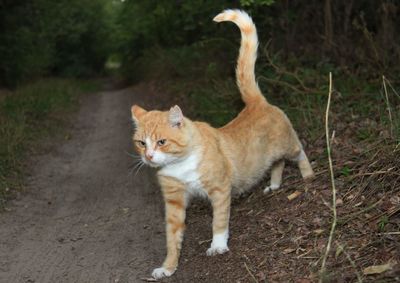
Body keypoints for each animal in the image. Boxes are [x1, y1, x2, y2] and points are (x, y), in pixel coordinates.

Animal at [130, 8, 314, 280]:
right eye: (142, 143)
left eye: (161, 142)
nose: (149, 157)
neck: (179, 165)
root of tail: (254, 102)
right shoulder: (174, 202)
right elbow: (172, 240)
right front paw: (168, 267)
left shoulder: (219, 190)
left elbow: (218, 222)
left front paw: (217, 246)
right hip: (271, 156)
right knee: (277, 164)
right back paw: (274, 185)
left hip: (288, 145)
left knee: (299, 153)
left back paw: (308, 175)